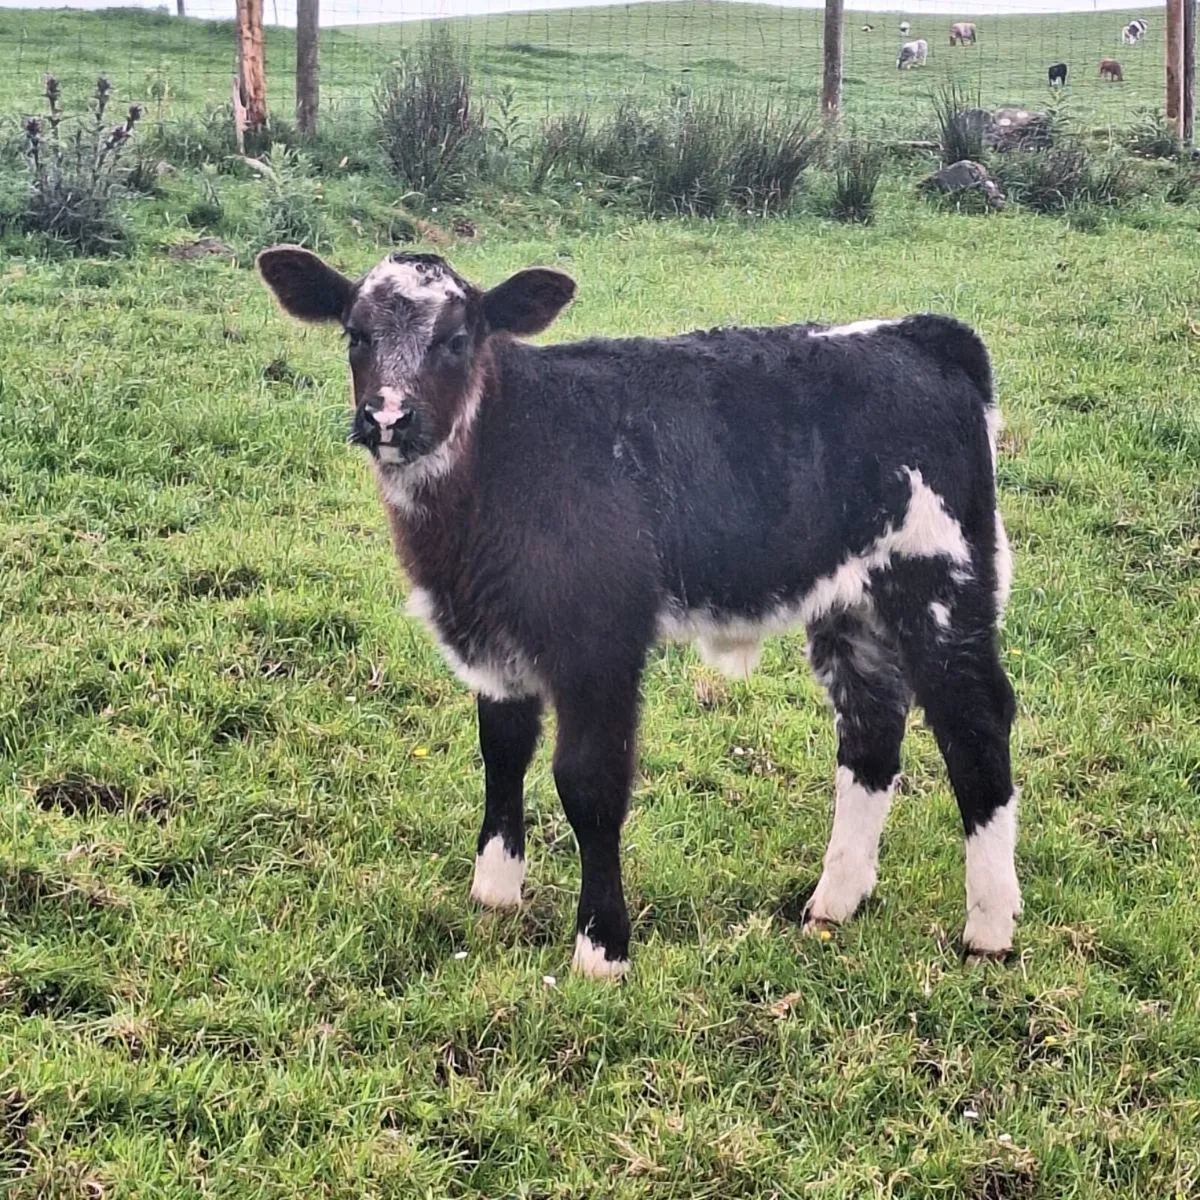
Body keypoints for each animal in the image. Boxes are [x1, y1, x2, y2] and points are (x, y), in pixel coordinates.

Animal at [256, 246, 1022, 979]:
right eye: (355, 334)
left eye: (457, 338)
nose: (388, 416)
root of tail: (918, 334)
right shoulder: (496, 642)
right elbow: (502, 753)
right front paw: (495, 894)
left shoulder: (600, 643)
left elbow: (589, 784)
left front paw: (602, 949)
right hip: (851, 603)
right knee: (870, 729)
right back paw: (833, 904)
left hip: (940, 579)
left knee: (974, 722)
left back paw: (988, 930)